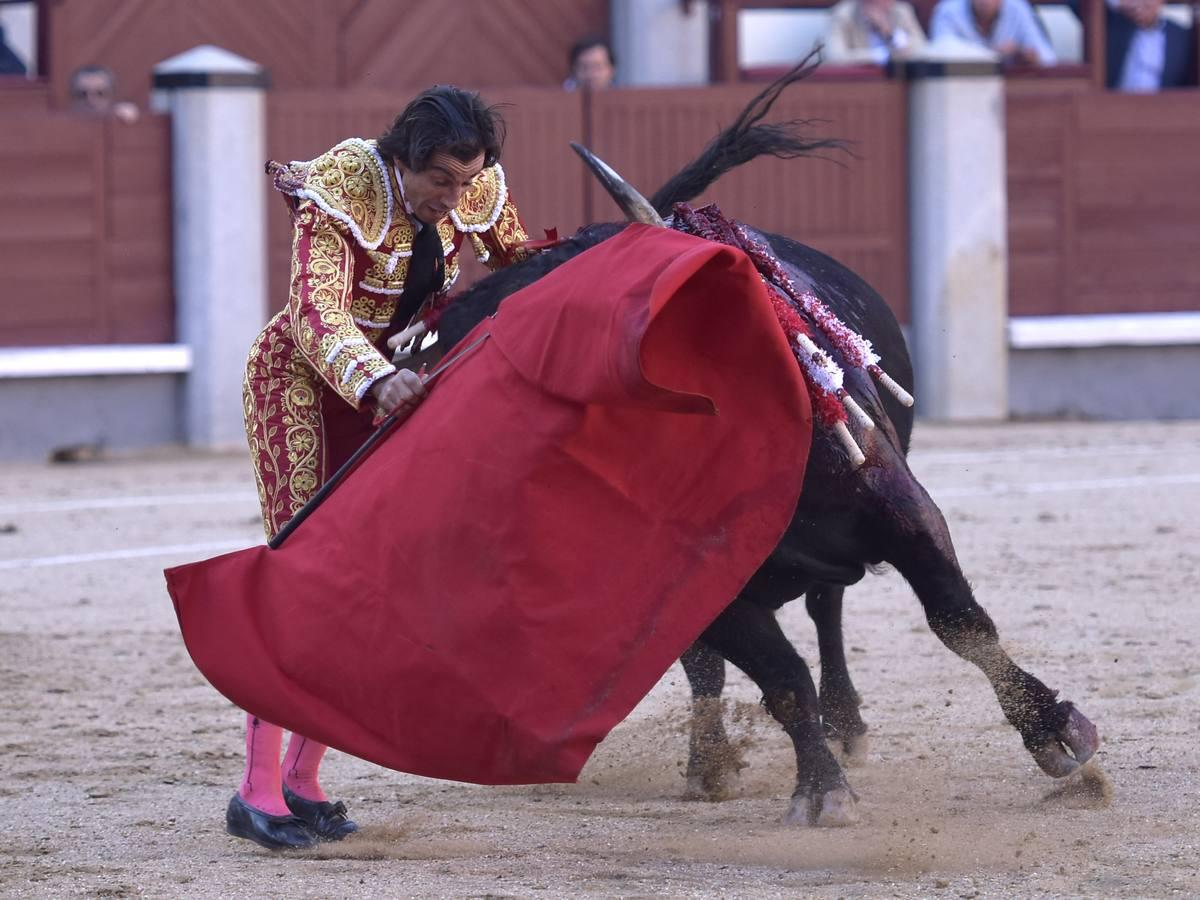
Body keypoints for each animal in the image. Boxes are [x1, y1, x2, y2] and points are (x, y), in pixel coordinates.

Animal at [422, 60, 1099, 830]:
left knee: (827, 606)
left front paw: (1055, 733)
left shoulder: (899, 503)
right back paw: (712, 762)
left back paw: (846, 724)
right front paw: (821, 790)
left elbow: (960, 621)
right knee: (717, 663)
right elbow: (779, 678)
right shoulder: (708, 594)